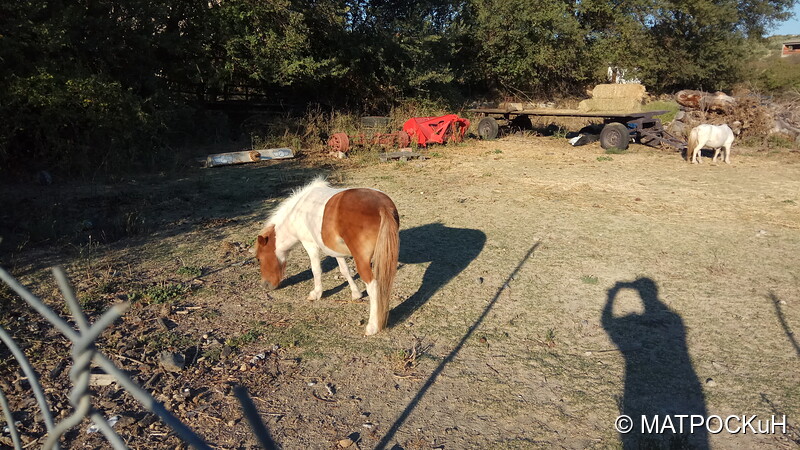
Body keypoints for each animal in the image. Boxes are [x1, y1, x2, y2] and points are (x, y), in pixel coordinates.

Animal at [255, 178, 398, 336]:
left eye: (259, 259)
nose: (265, 285)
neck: (298, 212)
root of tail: (382, 206)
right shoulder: (336, 250)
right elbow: (344, 270)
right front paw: (356, 294)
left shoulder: (310, 245)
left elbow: (316, 270)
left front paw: (316, 293)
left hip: (363, 261)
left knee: (373, 287)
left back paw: (372, 326)